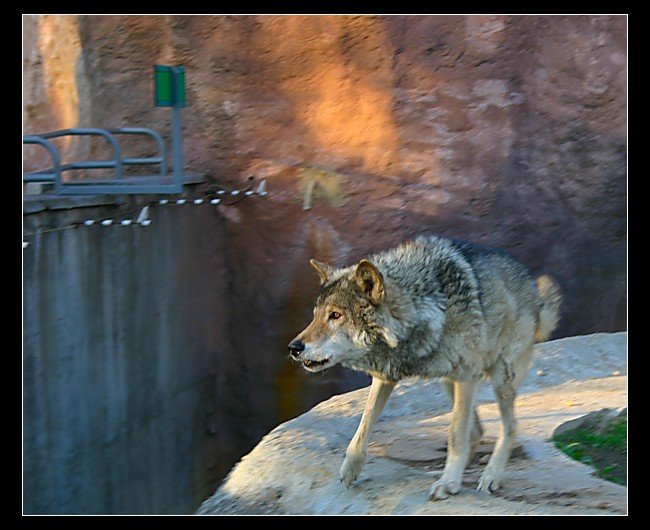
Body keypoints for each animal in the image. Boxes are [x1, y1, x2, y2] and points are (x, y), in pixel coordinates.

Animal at [288, 235, 562, 499]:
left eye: (335, 315)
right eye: (315, 315)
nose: (293, 347)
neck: (426, 307)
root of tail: (534, 288)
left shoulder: (466, 376)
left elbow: (455, 436)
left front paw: (448, 483)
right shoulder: (385, 376)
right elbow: (362, 428)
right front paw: (350, 469)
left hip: (498, 378)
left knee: (509, 427)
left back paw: (489, 476)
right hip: (449, 380)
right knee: (477, 431)